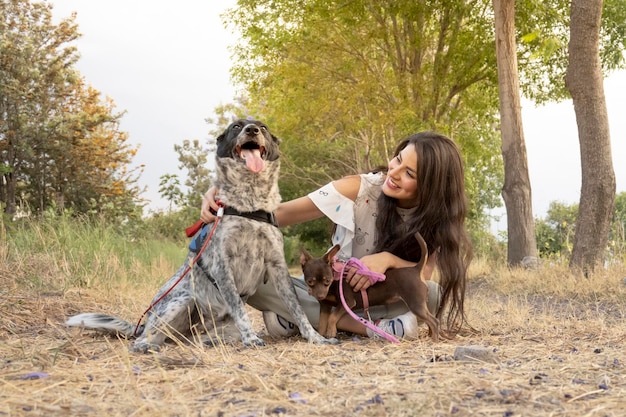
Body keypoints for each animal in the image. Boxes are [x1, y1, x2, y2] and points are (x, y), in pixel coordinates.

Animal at [67, 119, 336, 352]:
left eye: (263, 127)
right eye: (236, 126)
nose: (251, 130)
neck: (249, 204)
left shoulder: (277, 266)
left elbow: (297, 309)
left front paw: (316, 337)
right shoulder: (222, 265)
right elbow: (239, 307)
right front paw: (251, 339)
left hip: (221, 330)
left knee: (194, 339)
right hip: (181, 301)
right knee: (149, 336)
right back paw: (146, 345)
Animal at [298, 232, 438, 340]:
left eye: (327, 281)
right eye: (310, 282)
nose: (320, 295)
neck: (334, 281)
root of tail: (416, 269)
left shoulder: (347, 302)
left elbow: (332, 317)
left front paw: (331, 331)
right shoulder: (325, 306)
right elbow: (322, 322)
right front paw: (320, 336)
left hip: (415, 304)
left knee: (434, 321)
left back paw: (435, 339)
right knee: (430, 320)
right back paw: (432, 335)